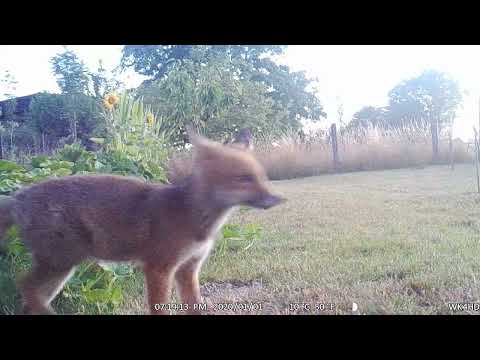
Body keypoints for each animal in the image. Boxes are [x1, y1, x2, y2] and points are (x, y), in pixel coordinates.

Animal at [0, 128, 284, 314]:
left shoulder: (188, 269)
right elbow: (159, 309)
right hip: (61, 263)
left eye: (262, 177)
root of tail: (17, 196)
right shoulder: (158, 268)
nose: (278, 198)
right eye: (244, 178)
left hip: (61, 269)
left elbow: (194, 306)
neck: (196, 220)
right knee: (24, 287)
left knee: (29, 298)